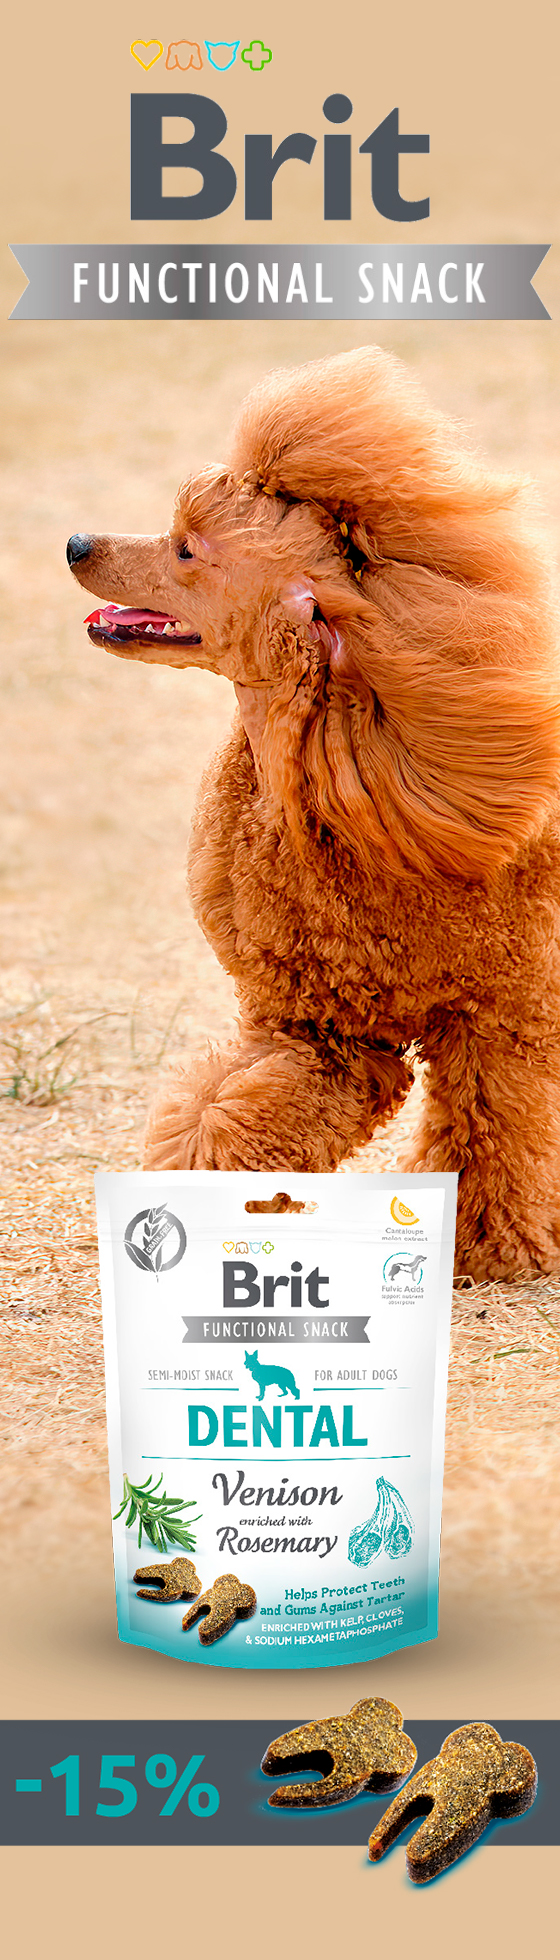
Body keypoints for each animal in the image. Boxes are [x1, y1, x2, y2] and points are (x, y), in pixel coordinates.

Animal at [67, 345, 560, 1281]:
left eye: (186, 548)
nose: (77, 543)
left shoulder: (500, 1011)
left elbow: (498, 1124)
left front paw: (493, 1245)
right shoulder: (320, 1025)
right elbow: (233, 1112)